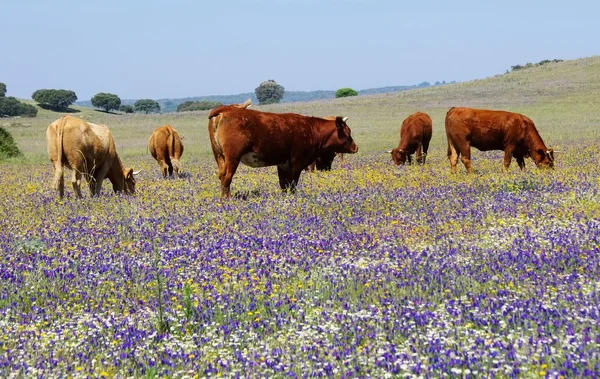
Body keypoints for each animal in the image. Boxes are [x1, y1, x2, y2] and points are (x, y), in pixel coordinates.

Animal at [207, 105, 356, 197]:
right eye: (348, 132)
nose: (356, 147)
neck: (311, 129)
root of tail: (227, 109)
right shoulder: (297, 162)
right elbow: (292, 184)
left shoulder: (283, 164)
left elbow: (283, 184)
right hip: (233, 158)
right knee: (227, 178)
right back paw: (227, 199)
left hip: (219, 156)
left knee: (222, 176)